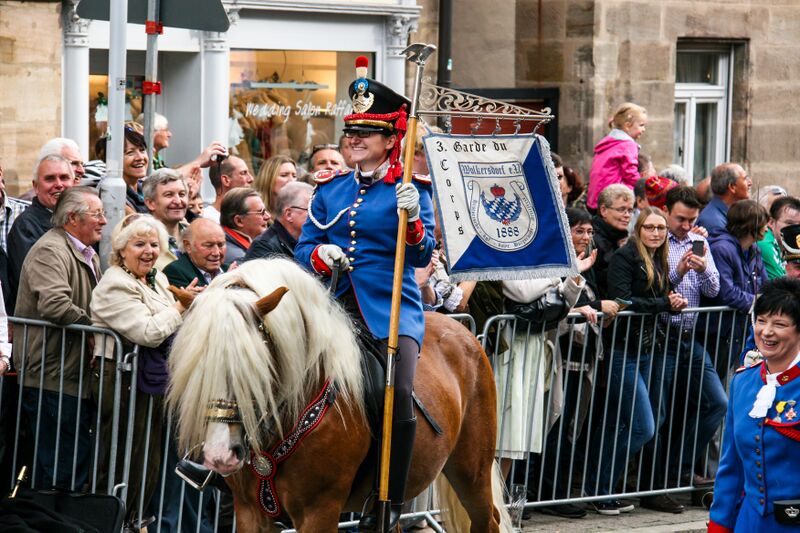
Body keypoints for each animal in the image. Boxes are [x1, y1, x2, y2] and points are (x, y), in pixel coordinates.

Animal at [167, 258, 511, 532]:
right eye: (199, 365)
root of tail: (466, 333)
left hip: (471, 470)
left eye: (253, 366)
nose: (220, 455)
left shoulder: (319, 511)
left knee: (487, 519)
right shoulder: (251, 511)